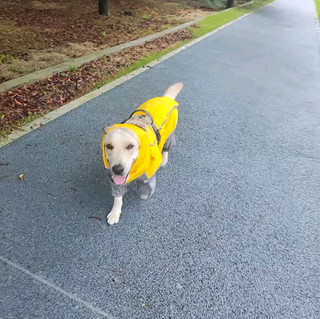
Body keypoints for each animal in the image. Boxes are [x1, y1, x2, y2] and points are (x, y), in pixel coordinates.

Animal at [102, 84, 182, 226]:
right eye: (109, 146)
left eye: (130, 146)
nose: (118, 169)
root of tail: (165, 98)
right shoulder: (115, 180)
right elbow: (118, 197)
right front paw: (115, 213)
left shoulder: (147, 176)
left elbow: (145, 190)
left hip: (169, 134)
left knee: (167, 147)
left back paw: (164, 160)